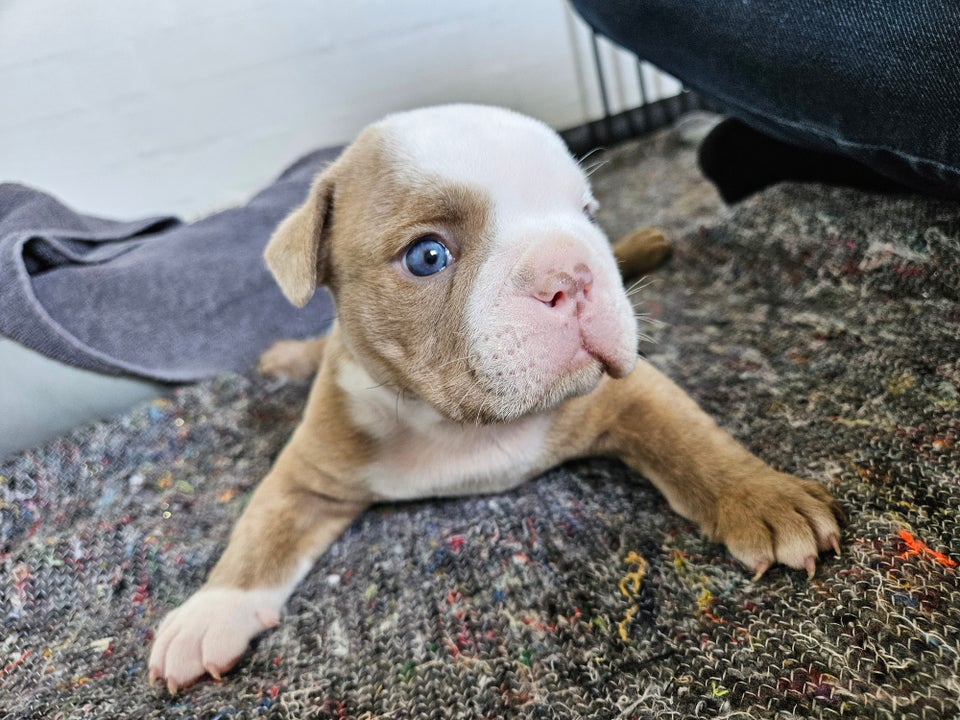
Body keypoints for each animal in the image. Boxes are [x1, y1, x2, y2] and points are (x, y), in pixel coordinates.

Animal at [148, 105, 840, 692]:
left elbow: (694, 440)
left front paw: (762, 496)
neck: (458, 424)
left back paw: (647, 244)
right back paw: (287, 356)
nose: (571, 272)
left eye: (587, 213)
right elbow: (260, 532)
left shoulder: (633, 394)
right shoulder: (310, 468)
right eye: (428, 256)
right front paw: (209, 614)